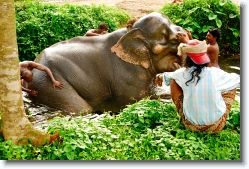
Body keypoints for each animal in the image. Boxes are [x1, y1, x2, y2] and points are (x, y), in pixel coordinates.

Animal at [25, 12, 185, 115]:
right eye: (173, 41)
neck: (130, 32)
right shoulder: (127, 75)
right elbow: (137, 100)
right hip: (50, 85)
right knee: (81, 109)